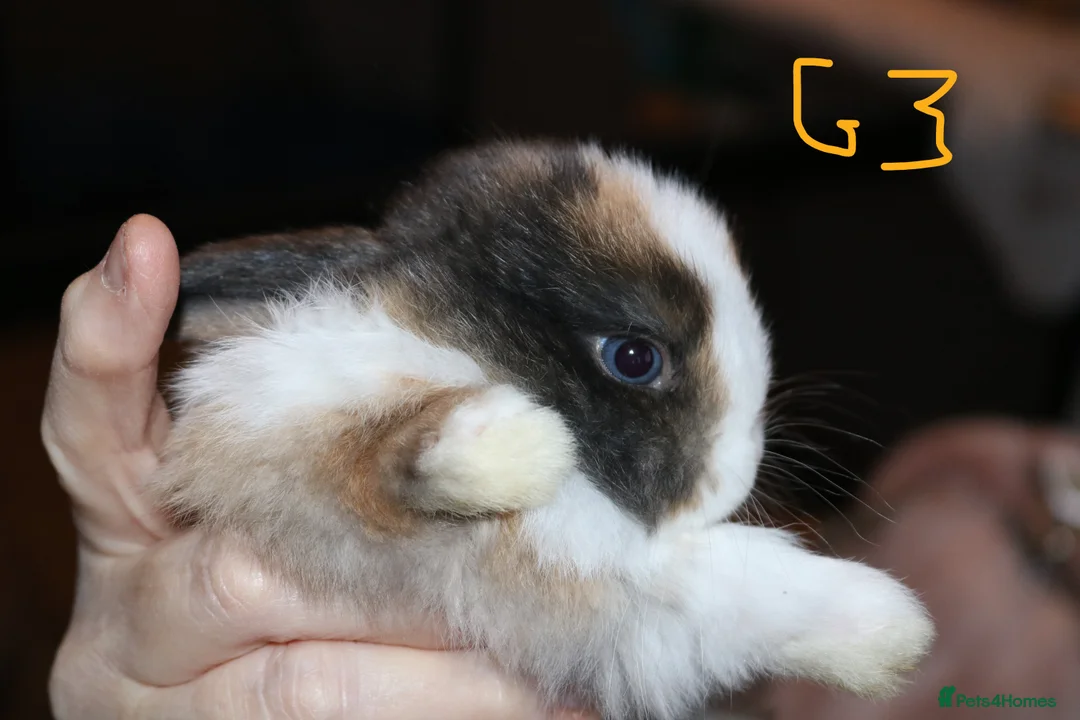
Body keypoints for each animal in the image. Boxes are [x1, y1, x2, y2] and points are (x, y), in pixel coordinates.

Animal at [152, 140, 935, 720]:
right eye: (634, 357)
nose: (730, 485)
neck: (451, 342)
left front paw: (896, 635)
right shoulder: (285, 430)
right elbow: (383, 453)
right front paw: (515, 444)